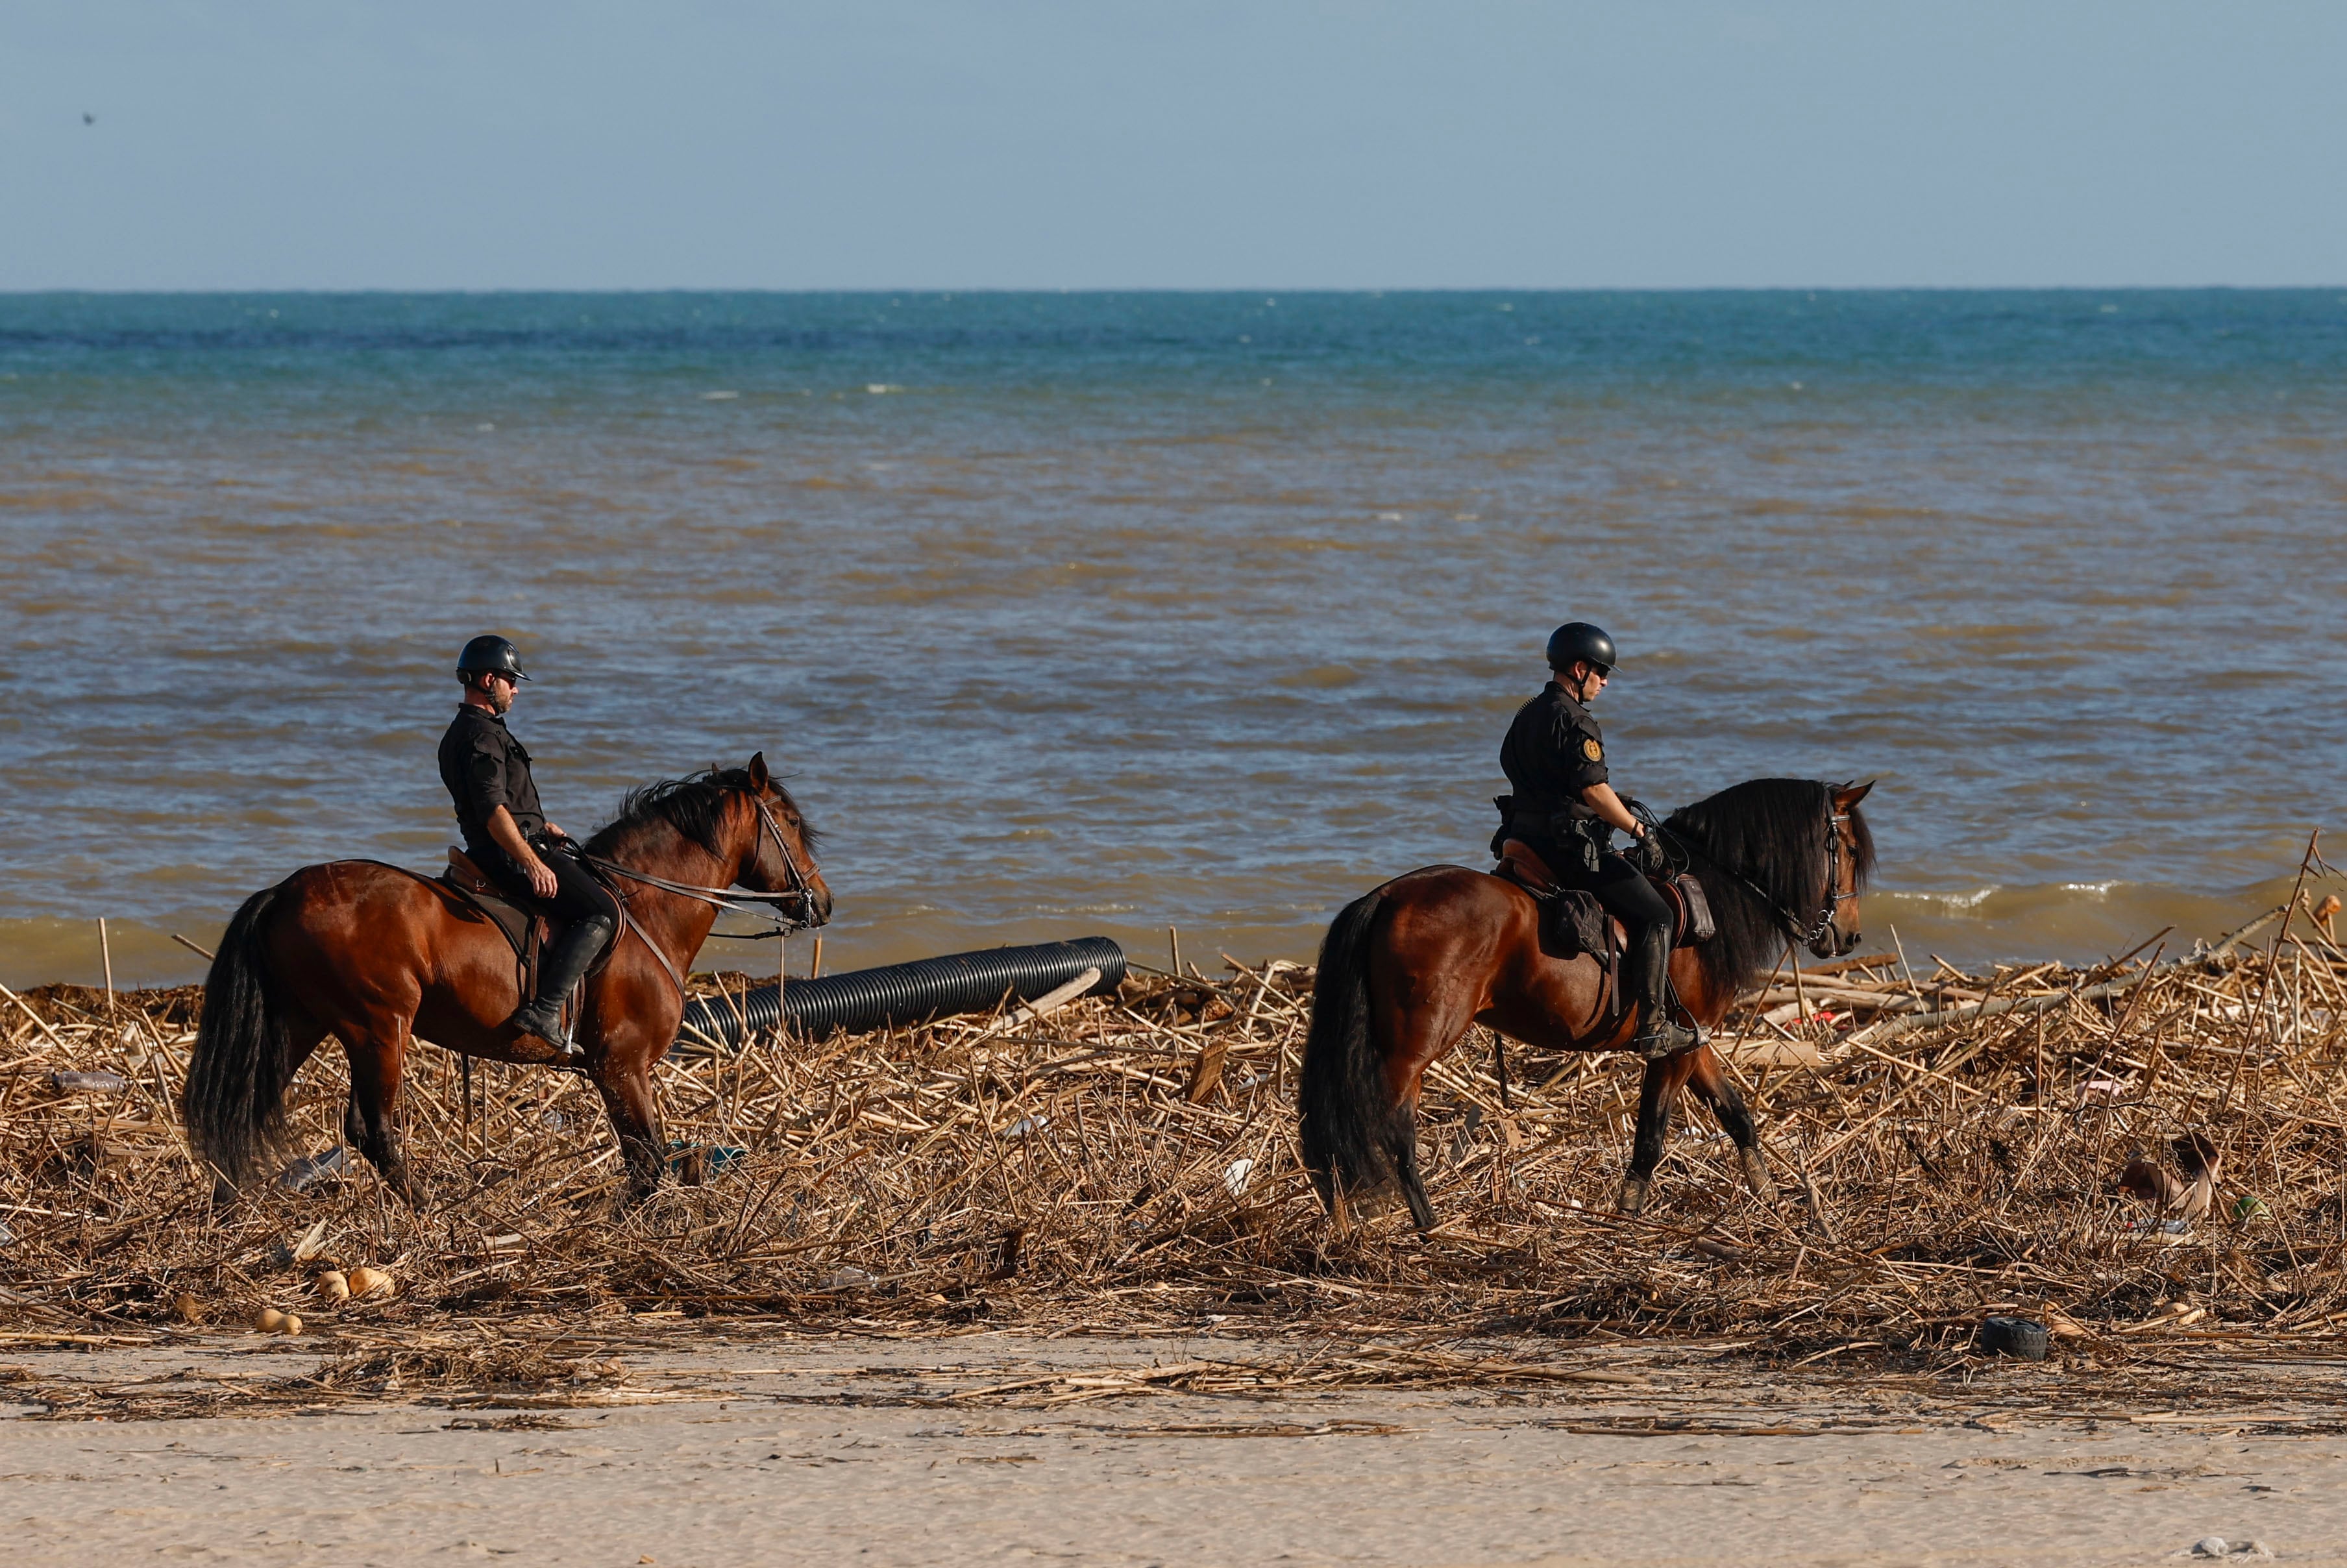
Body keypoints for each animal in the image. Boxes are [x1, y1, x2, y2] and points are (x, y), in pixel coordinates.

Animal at [192, 751, 835, 1211]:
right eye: (791, 822)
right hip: (377, 1027)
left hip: (304, 1023)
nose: (822, 903)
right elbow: (648, 1160)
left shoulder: (623, 1071)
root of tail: (285, 890)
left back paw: (229, 1205)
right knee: (370, 1129)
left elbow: (646, 1159)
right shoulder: (621, 1065)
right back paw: (429, 1211)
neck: (645, 906)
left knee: (242, 1105)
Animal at [1296, 779, 1877, 1230]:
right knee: (1392, 1127)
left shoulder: (1695, 1041)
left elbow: (1736, 1117)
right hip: (1414, 1047)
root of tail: (1387, 897)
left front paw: (1770, 1197)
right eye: (1847, 850)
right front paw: (1628, 1215)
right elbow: (1651, 1136)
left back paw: (1342, 1217)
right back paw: (1428, 1224)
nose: (1850, 937)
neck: (1713, 892)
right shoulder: (1673, 1049)